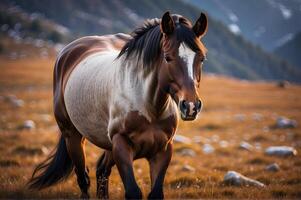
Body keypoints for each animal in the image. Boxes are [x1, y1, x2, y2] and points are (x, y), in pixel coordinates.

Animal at [27, 11, 206, 199]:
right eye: (168, 57)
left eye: (201, 58)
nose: (191, 106)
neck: (148, 108)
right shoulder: (121, 145)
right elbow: (133, 191)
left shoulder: (163, 150)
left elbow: (155, 193)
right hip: (72, 136)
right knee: (83, 177)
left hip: (107, 146)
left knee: (102, 172)